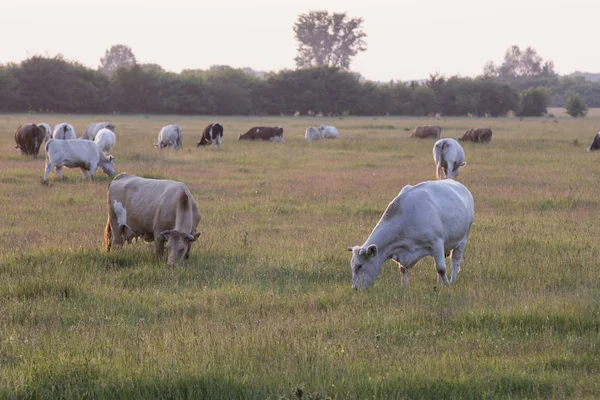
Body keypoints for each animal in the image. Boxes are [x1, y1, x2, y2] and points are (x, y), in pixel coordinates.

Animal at [346, 180, 474, 290]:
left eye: (359, 266)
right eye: (352, 266)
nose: (355, 288)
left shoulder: (436, 242)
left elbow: (441, 268)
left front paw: (447, 284)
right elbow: (403, 269)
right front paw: (405, 287)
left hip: (463, 238)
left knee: (455, 261)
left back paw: (452, 280)